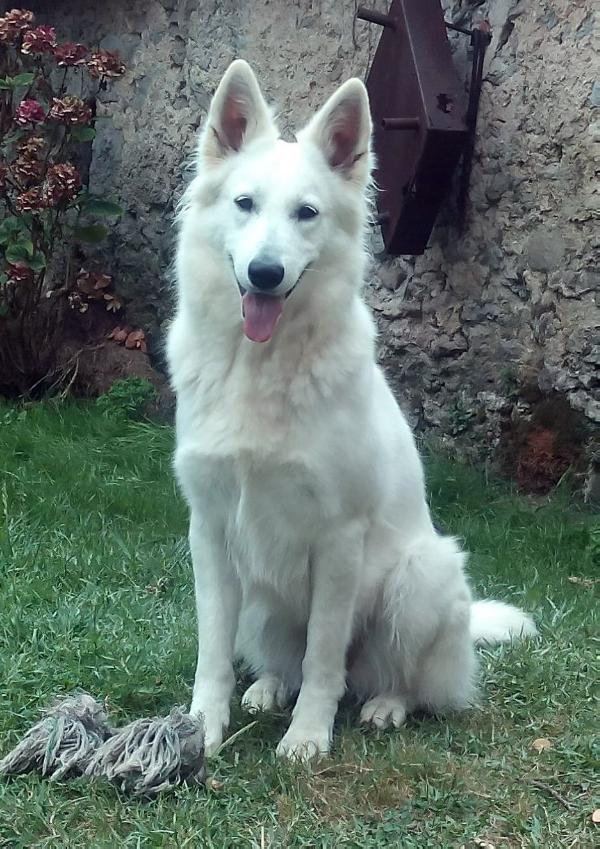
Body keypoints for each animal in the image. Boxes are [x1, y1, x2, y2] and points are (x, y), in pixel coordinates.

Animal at [166, 61, 536, 760]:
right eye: (245, 204)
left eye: (306, 213)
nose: (264, 273)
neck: (262, 367)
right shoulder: (211, 530)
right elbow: (212, 652)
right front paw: (201, 728)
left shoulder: (339, 541)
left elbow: (323, 659)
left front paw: (308, 737)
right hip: (260, 598)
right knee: (281, 659)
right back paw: (266, 689)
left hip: (421, 577)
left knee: (403, 682)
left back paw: (387, 705)